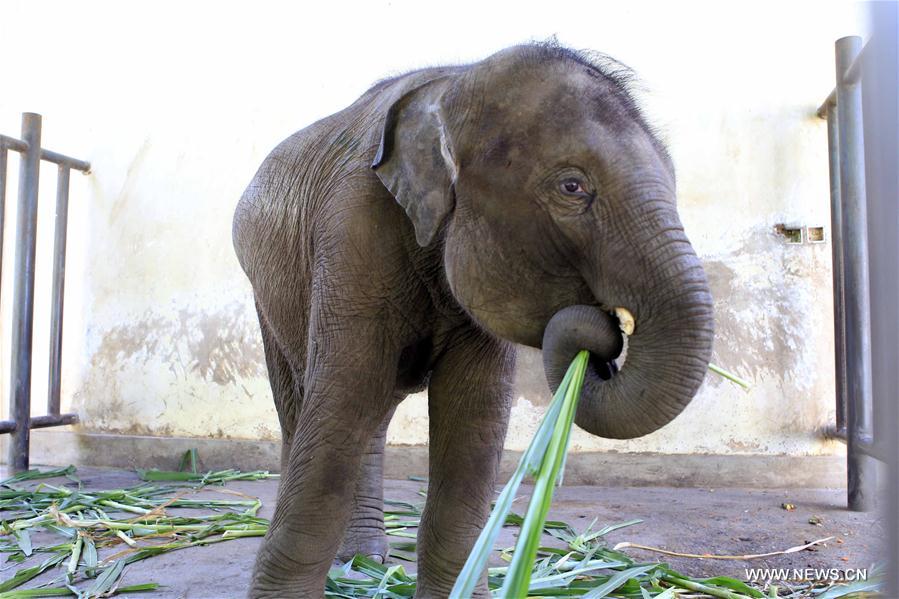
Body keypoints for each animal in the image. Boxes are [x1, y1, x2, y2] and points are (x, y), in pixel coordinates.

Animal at [232, 42, 714, 598]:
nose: (605, 344)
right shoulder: (353, 226)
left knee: (373, 417)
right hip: (266, 291)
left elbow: (474, 415)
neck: (454, 84)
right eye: (573, 186)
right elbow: (341, 401)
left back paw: (365, 561)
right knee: (307, 404)